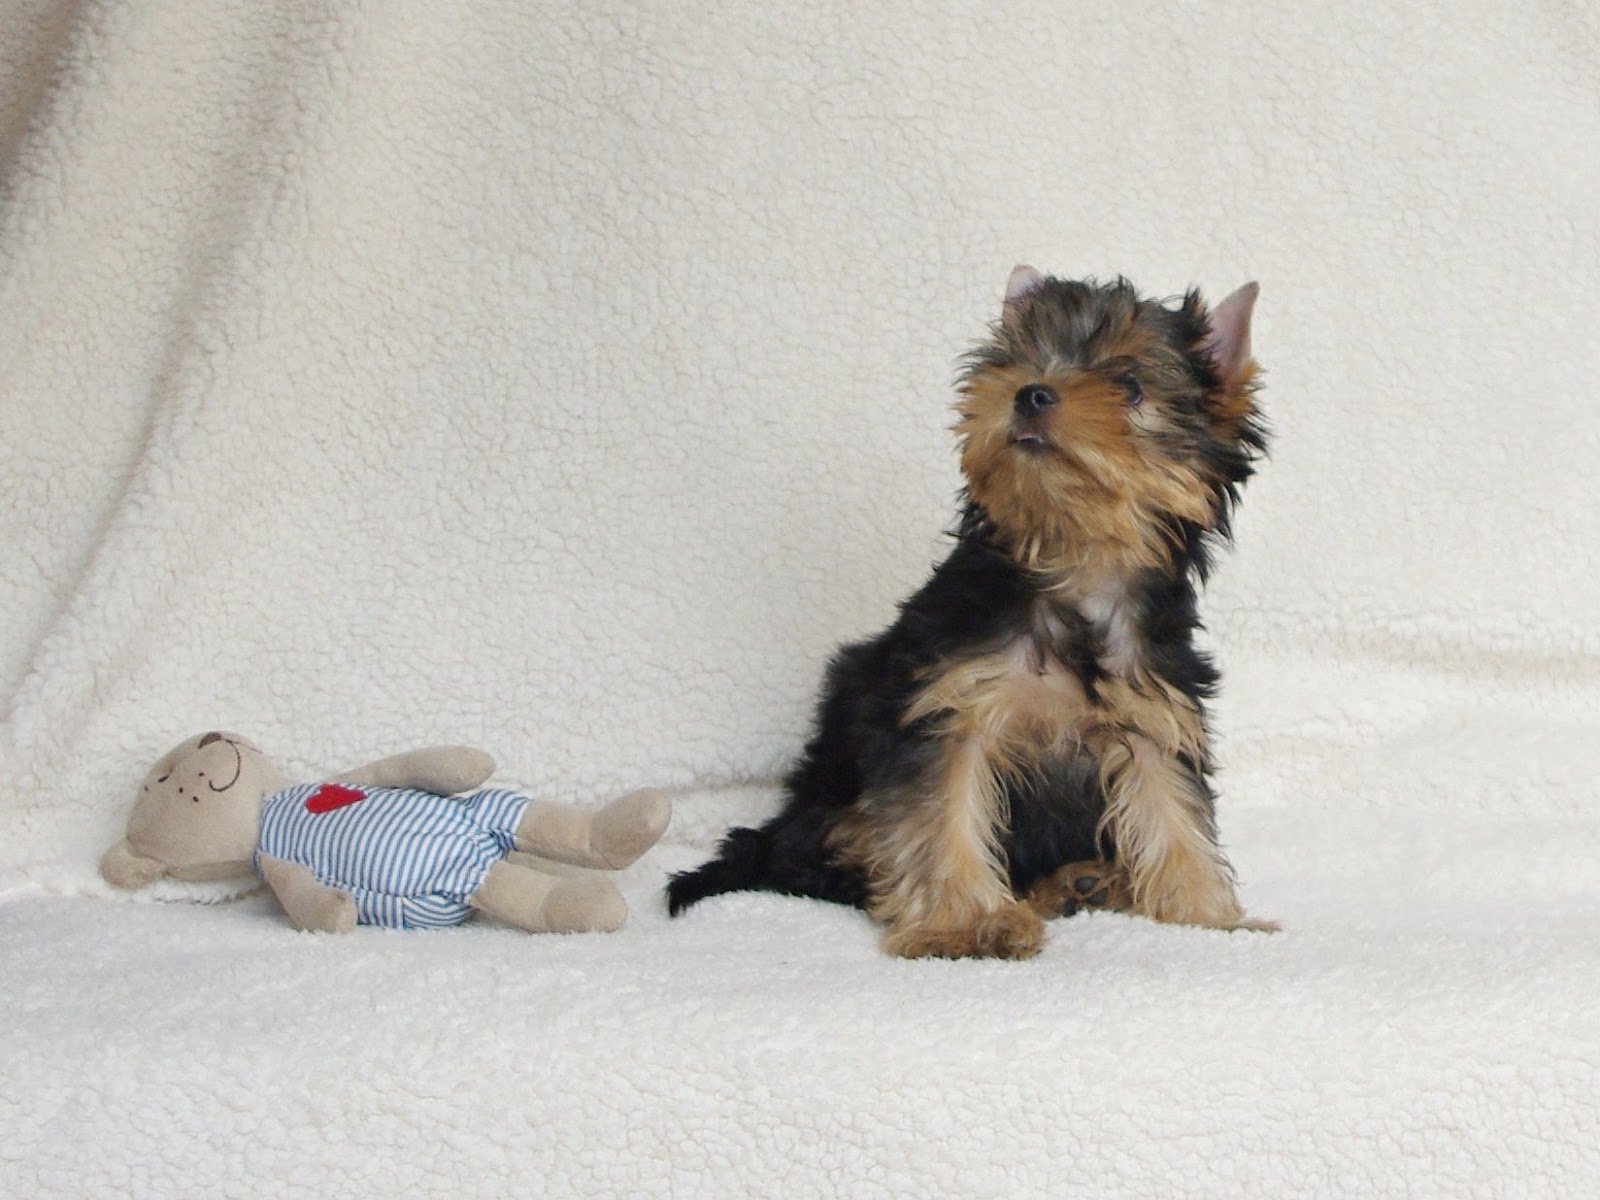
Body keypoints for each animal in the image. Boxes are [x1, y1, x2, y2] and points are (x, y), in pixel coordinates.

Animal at [667, 266, 1271, 959]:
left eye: (1131, 384)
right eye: (1018, 360)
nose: (1031, 393)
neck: (1070, 563)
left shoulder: (1153, 709)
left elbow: (1172, 807)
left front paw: (1212, 916)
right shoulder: (949, 702)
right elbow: (942, 812)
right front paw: (965, 924)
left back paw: (1083, 881)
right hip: (826, 806)